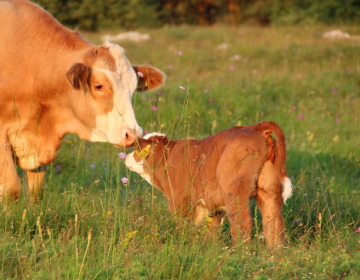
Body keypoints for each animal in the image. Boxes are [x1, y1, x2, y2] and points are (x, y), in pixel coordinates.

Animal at [126, 121, 292, 246]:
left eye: (137, 149)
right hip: (268, 189)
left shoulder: (180, 201)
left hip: (235, 191)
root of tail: (255, 127)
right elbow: (211, 230)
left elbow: (182, 225)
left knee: (242, 223)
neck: (168, 159)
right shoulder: (213, 207)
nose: (126, 157)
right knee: (274, 222)